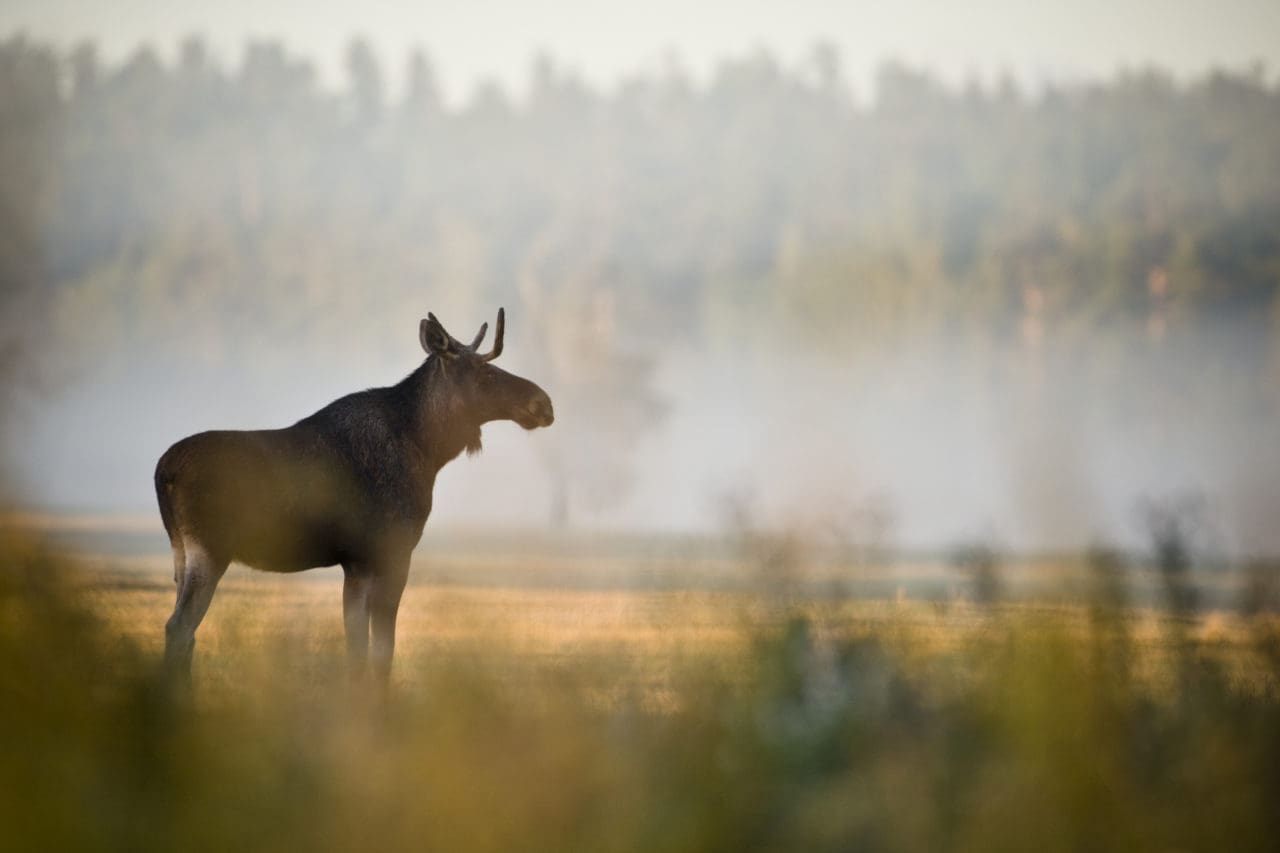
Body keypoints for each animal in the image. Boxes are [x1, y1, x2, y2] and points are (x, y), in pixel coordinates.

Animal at [152, 308, 552, 681]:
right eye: (486, 373)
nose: (544, 404)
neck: (427, 450)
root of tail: (162, 471)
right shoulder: (391, 551)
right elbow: (381, 653)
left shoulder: (355, 563)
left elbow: (357, 650)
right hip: (210, 548)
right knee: (179, 627)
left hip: (180, 552)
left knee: (184, 631)